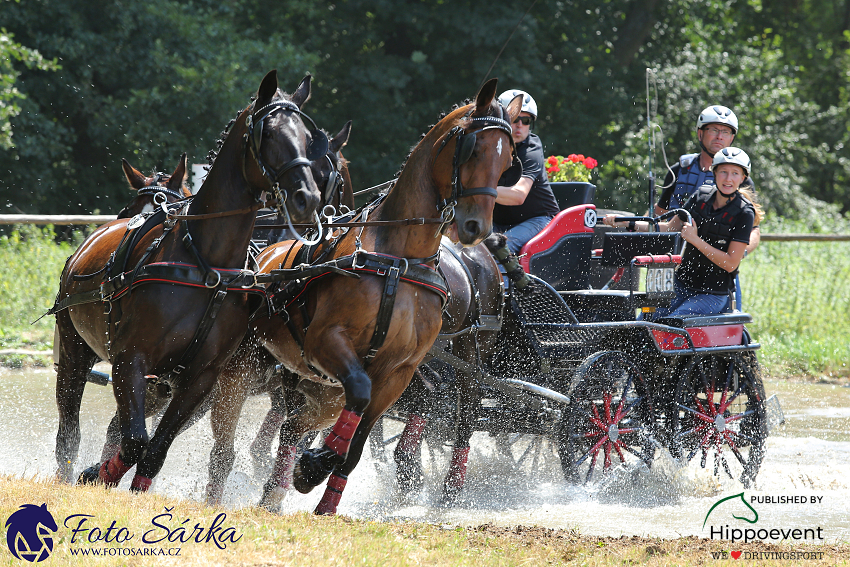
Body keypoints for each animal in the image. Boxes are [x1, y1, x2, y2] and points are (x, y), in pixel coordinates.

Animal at [52, 71, 324, 490]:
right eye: (269, 134)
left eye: (308, 138)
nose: (306, 197)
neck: (205, 262)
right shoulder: (130, 361)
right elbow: (134, 442)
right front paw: (96, 476)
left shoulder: (199, 380)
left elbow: (153, 452)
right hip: (73, 352)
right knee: (69, 432)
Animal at [245, 77, 520, 516]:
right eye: (472, 148)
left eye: (508, 159)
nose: (476, 225)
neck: (399, 260)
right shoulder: (327, 343)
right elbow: (356, 401)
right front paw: (312, 466)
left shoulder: (400, 371)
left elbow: (356, 446)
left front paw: (323, 491)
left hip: (470, 354)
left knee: (467, 409)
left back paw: (447, 488)